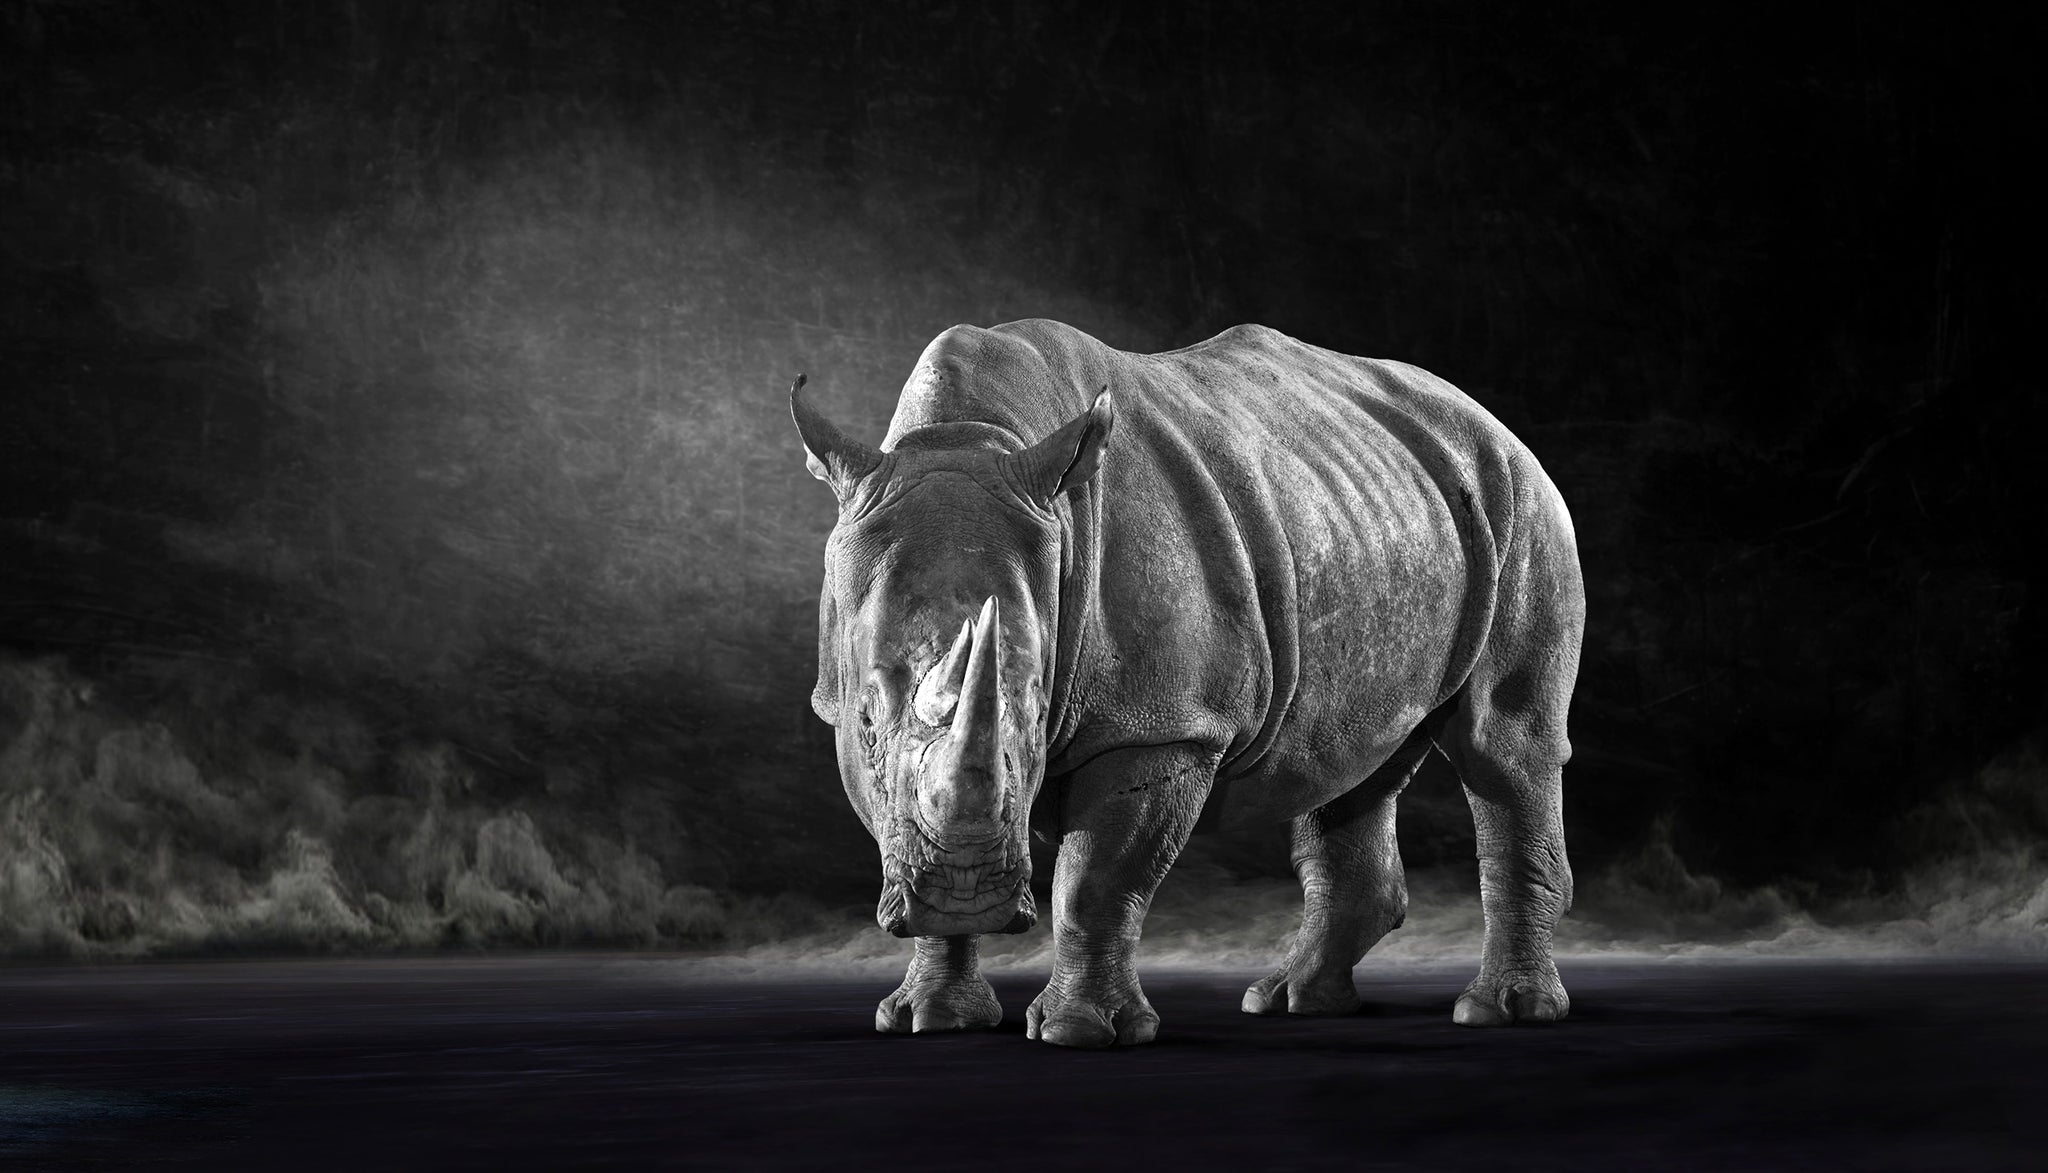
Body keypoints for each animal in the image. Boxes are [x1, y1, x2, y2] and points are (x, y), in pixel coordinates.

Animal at [791, 319, 1583, 1048]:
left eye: (1037, 711)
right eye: (865, 719)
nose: (967, 894)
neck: (970, 438)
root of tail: (1488, 419)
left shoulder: (1161, 725)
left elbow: (1096, 881)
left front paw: (1081, 1032)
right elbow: (899, 821)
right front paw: (929, 1015)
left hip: (1521, 499)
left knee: (1502, 748)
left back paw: (1502, 1009)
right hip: (1375, 514)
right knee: (1348, 760)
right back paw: (1293, 1000)